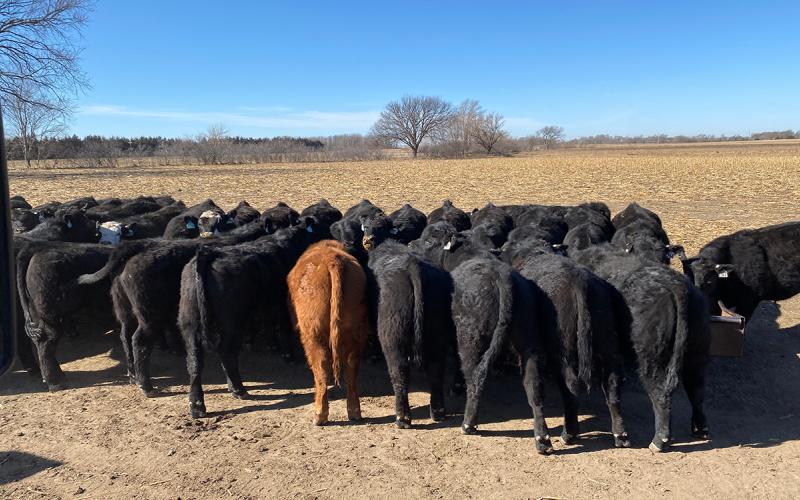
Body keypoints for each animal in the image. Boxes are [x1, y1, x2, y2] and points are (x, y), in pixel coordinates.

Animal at [287, 240, 370, 425]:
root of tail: (333, 259)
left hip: (314, 335)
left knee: (321, 369)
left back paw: (319, 415)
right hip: (357, 332)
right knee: (352, 368)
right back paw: (354, 412)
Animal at [573, 244, 711, 452]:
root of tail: (677, 286)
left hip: (652, 361)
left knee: (661, 394)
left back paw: (659, 441)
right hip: (697, 355)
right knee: (697, 391)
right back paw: (700, 429)